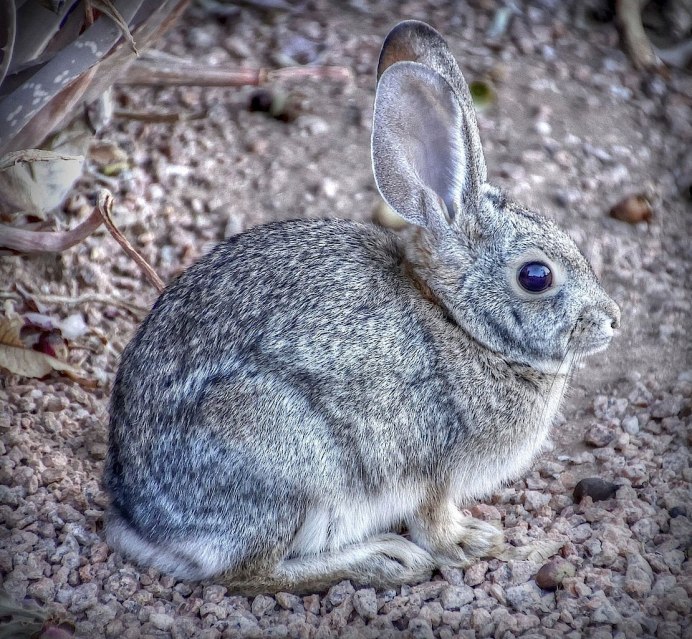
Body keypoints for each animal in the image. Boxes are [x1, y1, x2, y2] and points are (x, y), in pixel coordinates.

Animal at [104, 21, 620, 600]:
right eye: (536, 276)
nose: (612, 319)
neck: (457, 321)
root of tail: (142, 523)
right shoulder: (434, 467)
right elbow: (434, 518)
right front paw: (471, 541)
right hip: (285, 461)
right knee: (247, 573)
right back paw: (384, 560)